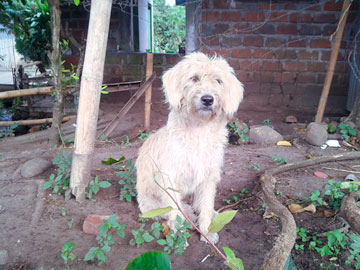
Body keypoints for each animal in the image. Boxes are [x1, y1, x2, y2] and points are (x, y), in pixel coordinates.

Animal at [136, 51, 245, 244]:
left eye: (218, 81)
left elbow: (206, 206)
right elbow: (175, 212)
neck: (199, 130)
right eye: (194, 78)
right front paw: (178, 238)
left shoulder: (208, 178)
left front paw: (207, 231)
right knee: (173, 211)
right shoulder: (171, 181)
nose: (208, 99)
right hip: (151, 204)